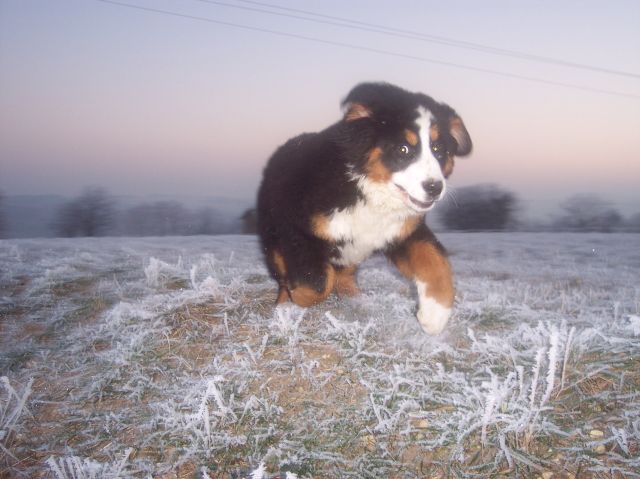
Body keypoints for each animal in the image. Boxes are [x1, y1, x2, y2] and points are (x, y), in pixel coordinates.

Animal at [255, 82, 470, 336]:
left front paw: (435, 314)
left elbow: (436, 260)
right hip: (273, 234)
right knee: (284, 270)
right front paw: (296, 295)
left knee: (345, 272)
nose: (434, 187)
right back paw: (284, 303)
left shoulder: (404, 231)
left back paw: (354, 297)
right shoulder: (296, 230)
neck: (367, 189)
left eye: (439, 150)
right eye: (403, 149)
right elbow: (317, 282)